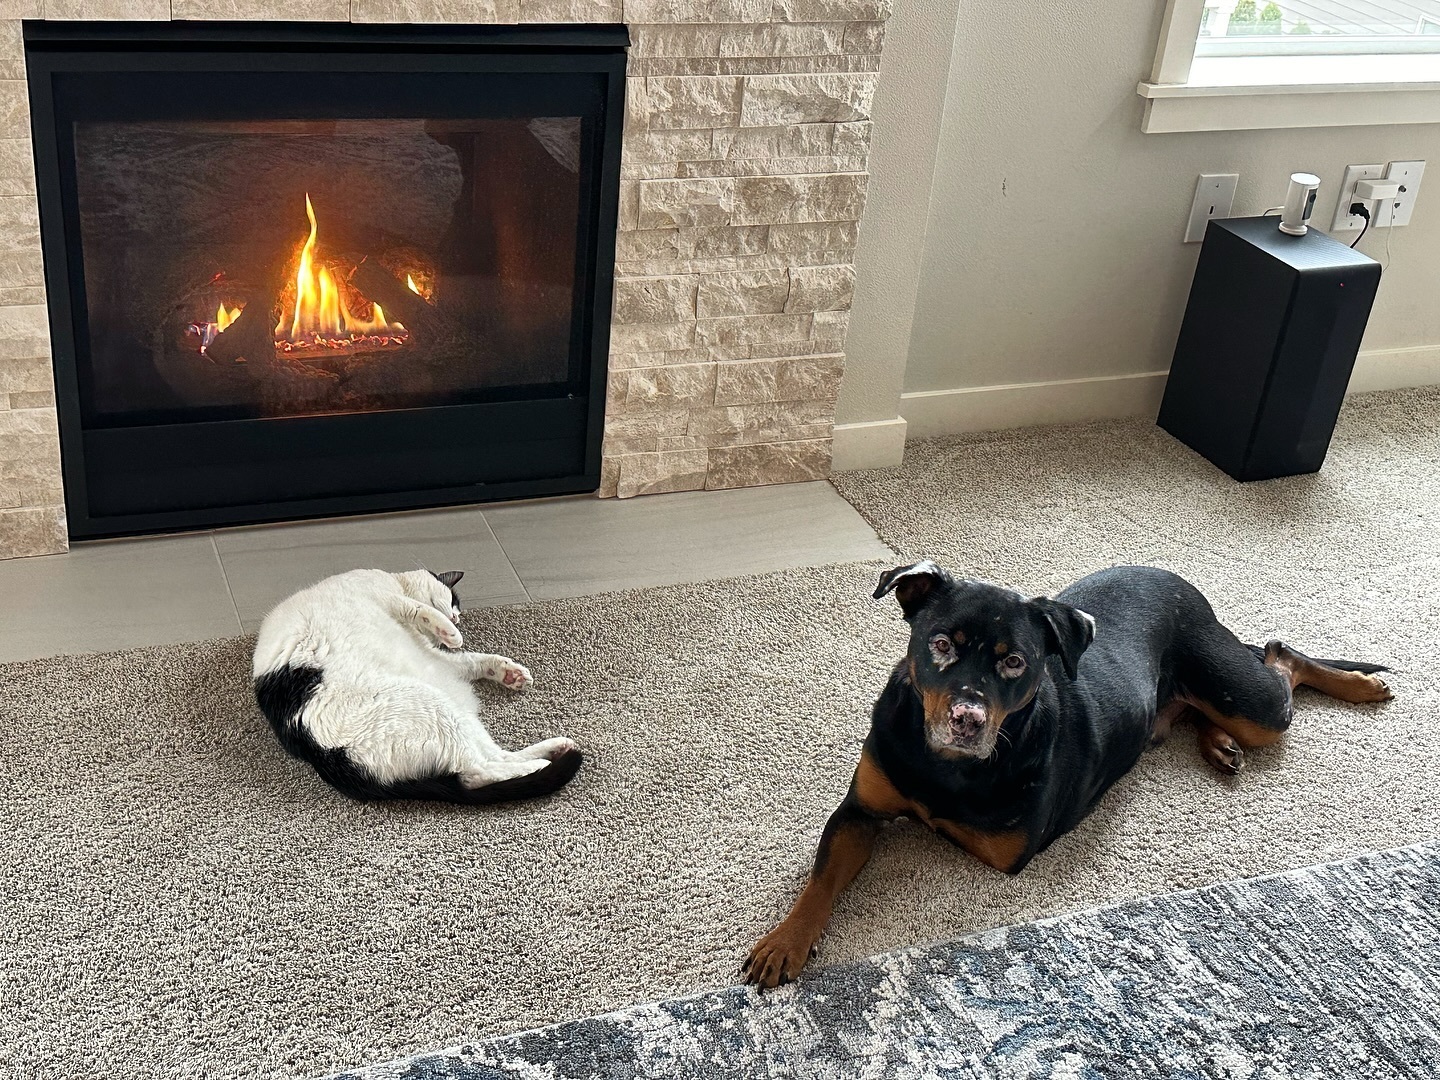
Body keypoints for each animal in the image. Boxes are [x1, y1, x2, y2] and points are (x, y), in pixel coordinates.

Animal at [250, 567, 581, 806]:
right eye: (453, 602)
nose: (456, 618)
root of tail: (325, 759)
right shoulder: (385, 597)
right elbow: (418, 608)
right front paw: (450, 633)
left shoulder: (436, 658)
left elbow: (472, 660)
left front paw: (508, 673)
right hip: (432, 705)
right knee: (476, 772)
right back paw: (538, 765)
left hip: (452, 711)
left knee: (491, 759)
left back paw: (553, 750)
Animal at [748, 567, 1388, 990]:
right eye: (940, 645)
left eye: (1015, 662)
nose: (967, 718)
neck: (945, 763)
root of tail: (1180, 582)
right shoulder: (859, 810)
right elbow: (821, 880)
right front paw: (784, 942)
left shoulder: (1001, 845)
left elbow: (940, 817)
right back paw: (1219, 744)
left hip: (1248, 700)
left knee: (1281, 658)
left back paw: (1359, 686)